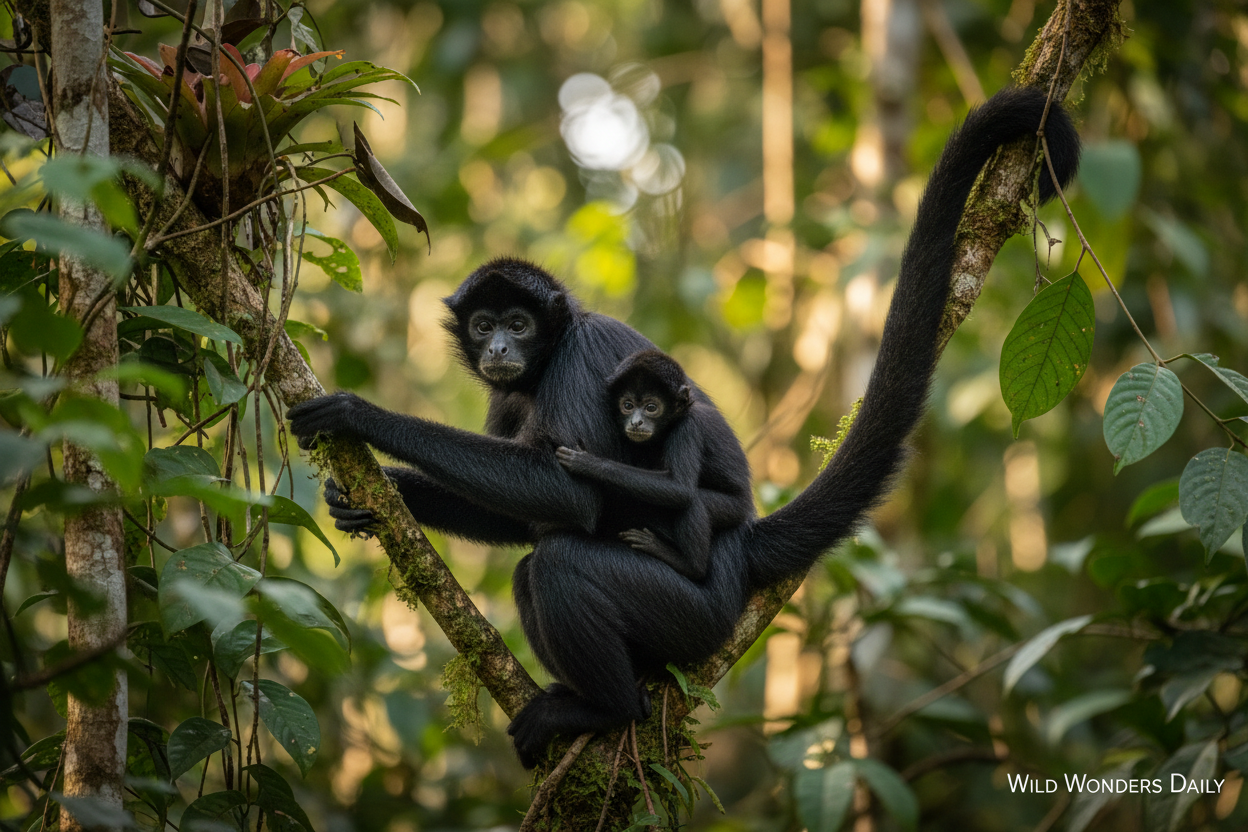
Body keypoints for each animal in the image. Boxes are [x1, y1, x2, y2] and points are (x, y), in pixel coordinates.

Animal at [554, 349, 754, 582]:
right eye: (628, 405)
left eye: (651, 407)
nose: (636, 422)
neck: (679, 416)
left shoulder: (687, 429)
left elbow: (681, 489)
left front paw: (587, 463)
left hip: (733, 508)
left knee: (693, 502)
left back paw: (687, 564)